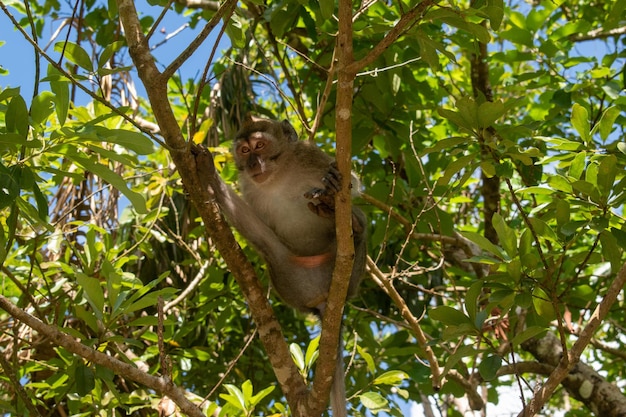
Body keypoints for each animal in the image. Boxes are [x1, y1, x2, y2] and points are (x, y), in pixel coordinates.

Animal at [200, 116, 366, 416]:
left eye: (260, 146)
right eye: (244, 151)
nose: (254, 163)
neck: (279, 176)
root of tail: (323, 300)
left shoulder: (309, 155)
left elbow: (353, 185)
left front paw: (333, 184)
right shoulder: (249, 187)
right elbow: (252, 222)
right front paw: (206, 170)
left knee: (358, 226)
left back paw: (352, 224)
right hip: (287, 277)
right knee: (267, 244)